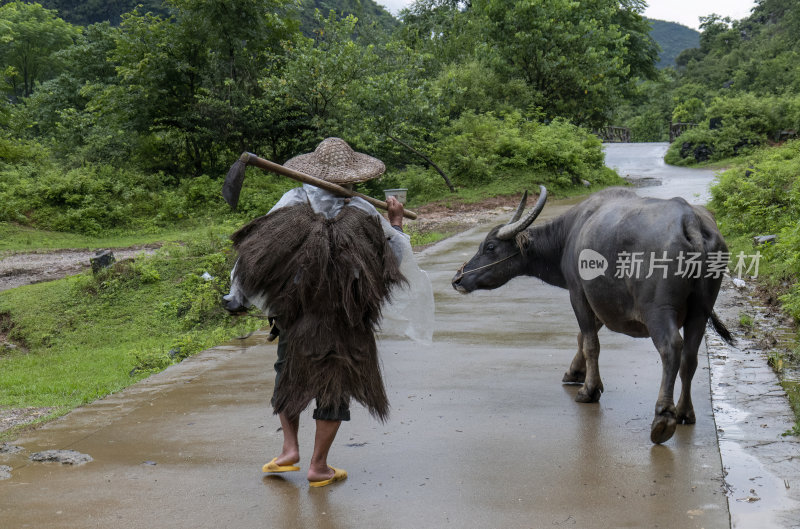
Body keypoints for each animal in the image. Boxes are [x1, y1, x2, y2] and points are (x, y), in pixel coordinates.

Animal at [450, 186, 732, 442]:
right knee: (690, 357)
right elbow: (583, 337)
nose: (457, 279)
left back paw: (663, 417)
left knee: (671, 348)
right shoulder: (600, 300)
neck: (569, 236)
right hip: (700, 311)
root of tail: (689, 220)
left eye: (490, 247)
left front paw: (589, 390)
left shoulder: (578, 294)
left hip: (658, 311)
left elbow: (589, 343)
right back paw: (685, 412)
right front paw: (574, 373)